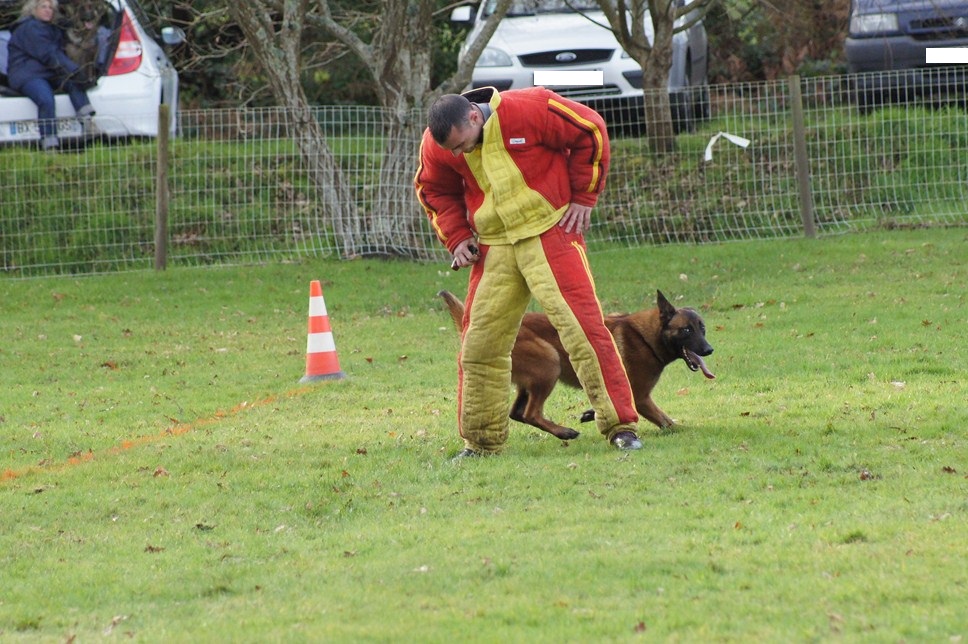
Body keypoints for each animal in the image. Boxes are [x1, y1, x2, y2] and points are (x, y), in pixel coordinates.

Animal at [438, 290, 712, 440]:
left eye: (703, 328)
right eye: (686, 330)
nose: (709, 350)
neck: (646, 336)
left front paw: (591, 413)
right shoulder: (641, 397)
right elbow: (668, 422)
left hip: (529, 380)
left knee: (517, 413)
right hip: (549, 365)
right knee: (530, 413)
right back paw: (564, 432)